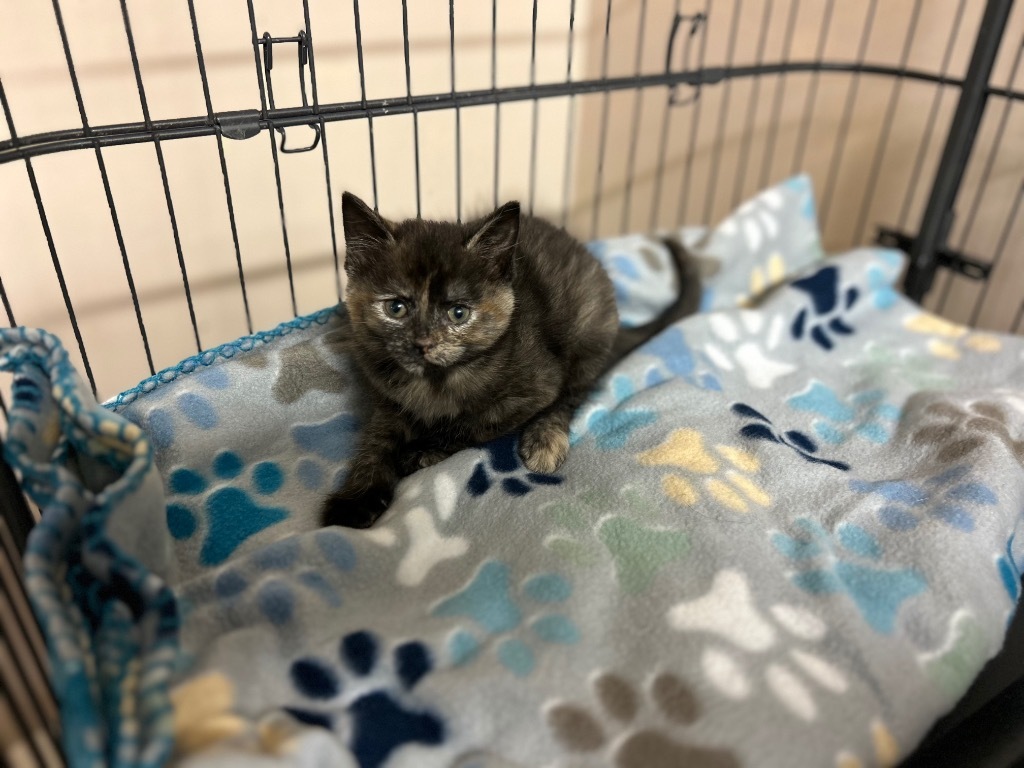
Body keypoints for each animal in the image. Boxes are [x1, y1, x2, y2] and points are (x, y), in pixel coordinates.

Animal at [323, 192, 700, 528]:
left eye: (459, 313)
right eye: (396, 308)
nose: (423, 344)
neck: (434, 381)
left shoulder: (532, 390)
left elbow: (470, 424)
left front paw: (421, 451)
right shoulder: (387, 396)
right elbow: (376, 441)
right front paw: (356, 499)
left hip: (586, 332)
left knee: (571, 395)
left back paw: (545, 439)